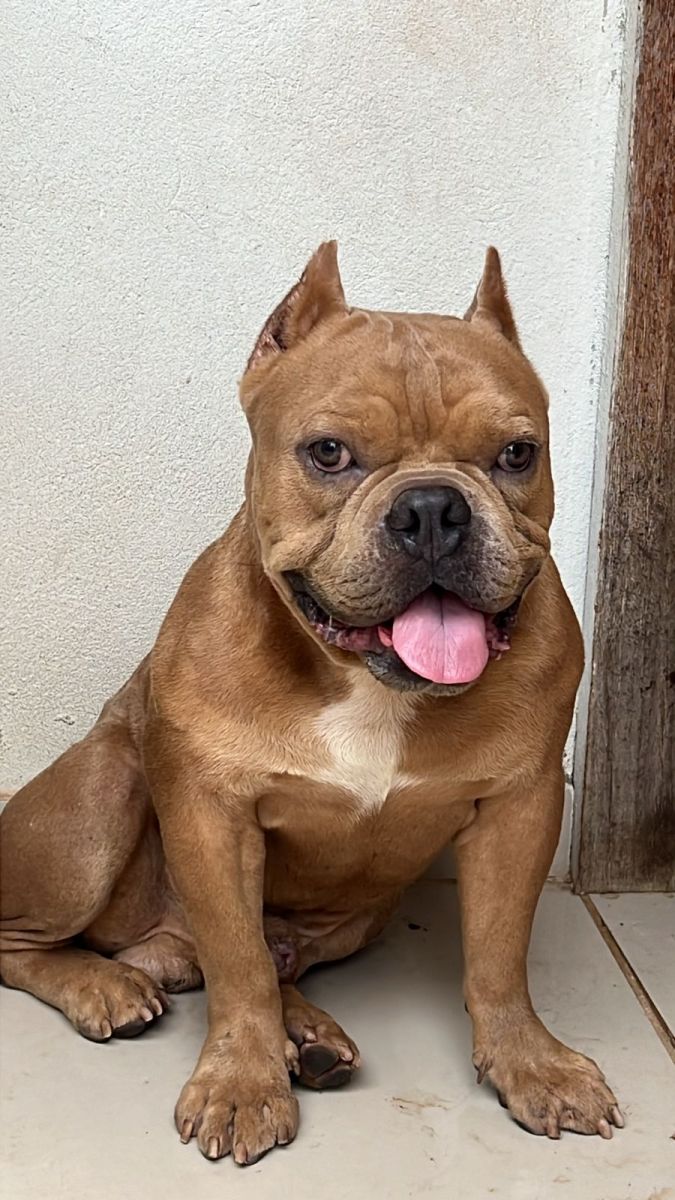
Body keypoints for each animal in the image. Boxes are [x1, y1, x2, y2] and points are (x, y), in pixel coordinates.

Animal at [0, 243, 623, 1165]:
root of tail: (151, 947)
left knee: (265, 959)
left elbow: (497, 955)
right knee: (46, 941)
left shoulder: (521, 806)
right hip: (99, 802)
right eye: (328, 453)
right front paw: (240, 1080)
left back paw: (310, 1037)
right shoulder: (211, 816)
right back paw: (102, 986)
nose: (431, 507)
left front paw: (528, 1062)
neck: (364, 680)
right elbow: (239, 969)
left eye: (518, 454)